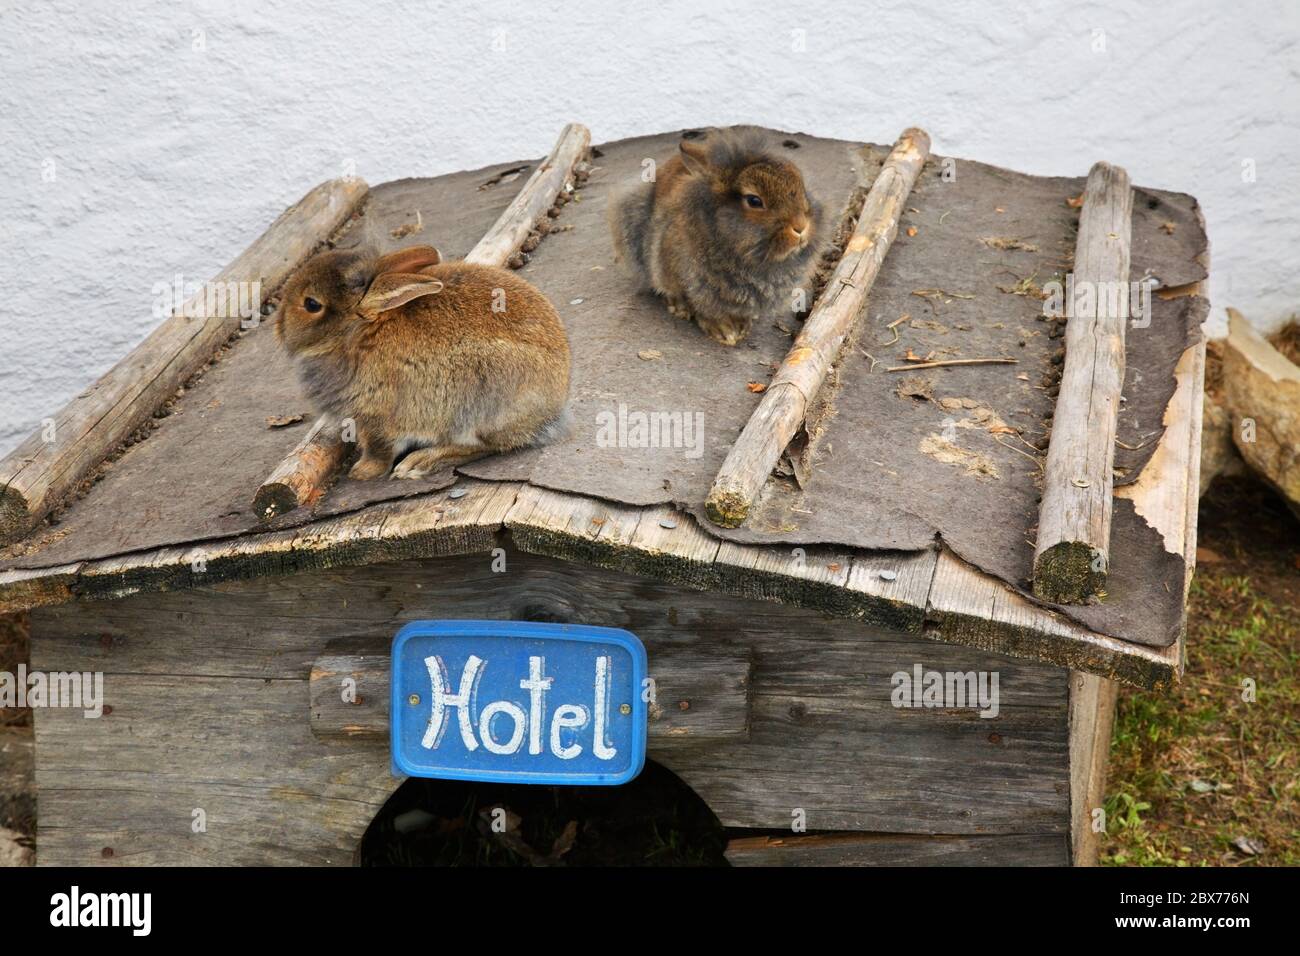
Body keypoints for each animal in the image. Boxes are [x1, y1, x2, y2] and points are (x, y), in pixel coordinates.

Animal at [275, 244, 571, 480]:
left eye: (311, 304)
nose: (278, 326)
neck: (357, 332)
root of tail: (553, 408)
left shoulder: (376, 416)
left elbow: (379, 449)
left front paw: (362, 472)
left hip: (477, 401)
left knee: (482, 446)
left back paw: (417, 463)